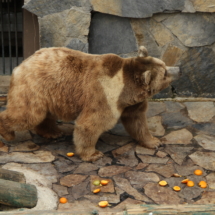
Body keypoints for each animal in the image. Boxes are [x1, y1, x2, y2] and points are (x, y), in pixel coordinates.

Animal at [0, 46, 180, 161]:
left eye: (164, 64)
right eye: (164, 72)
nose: (178, 69)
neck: (125, 90)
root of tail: (21, 64)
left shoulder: (132, 105)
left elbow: (137, 122)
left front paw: (154, 141)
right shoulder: (104, 95)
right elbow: (90, 124)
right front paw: (93, 154)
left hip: (50, 93)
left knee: (43, 114)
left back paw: (52, 132)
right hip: (35, 86)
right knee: (26, 115)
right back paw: (8, 133)